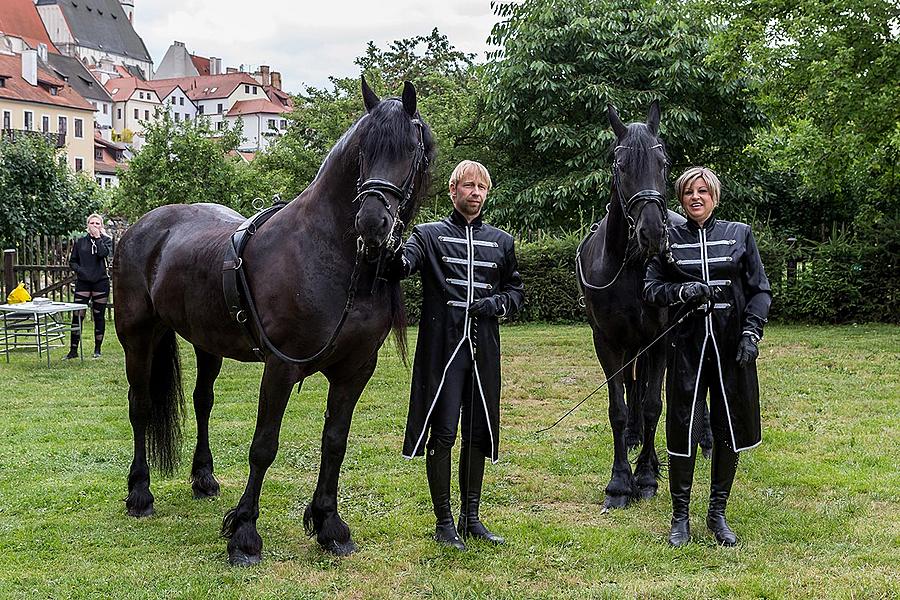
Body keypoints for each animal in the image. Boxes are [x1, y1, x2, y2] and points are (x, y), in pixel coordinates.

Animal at [112, 78, 436, 564]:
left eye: (411, 150)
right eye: (364, 149)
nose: (373, 222)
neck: (332, 257)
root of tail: (141, 226)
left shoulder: (355, 370)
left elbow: (335, 441)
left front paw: (329, 525)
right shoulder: (281, 367)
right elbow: (263, 446)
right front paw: (244, 532)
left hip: (207, 342)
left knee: (203, 401)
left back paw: (203, 479)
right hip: (137, 336)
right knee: (141, 405)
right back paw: (140, 494)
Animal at [576, 102, 688, 506]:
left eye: (664, 163)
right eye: (621, 164)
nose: (653, 232)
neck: (632, 268)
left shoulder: (660, 340)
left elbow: (654, 404)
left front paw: (646, 477)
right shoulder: (608, 342)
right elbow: (619, 407)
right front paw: (620, 482)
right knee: (632, 387)